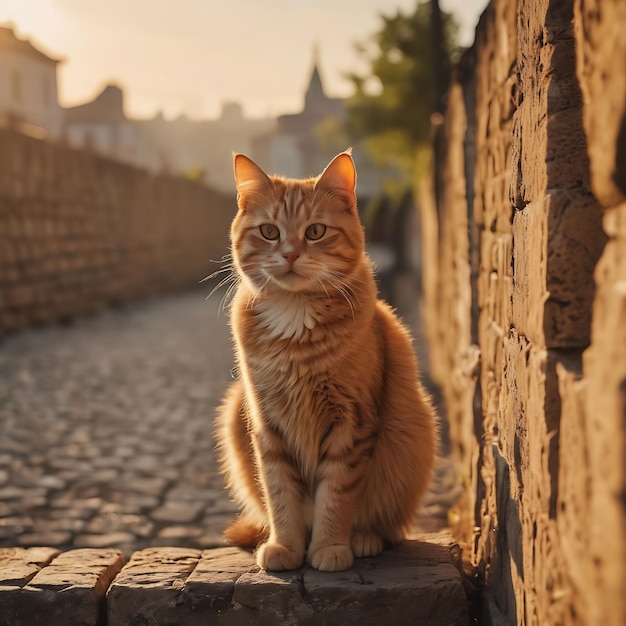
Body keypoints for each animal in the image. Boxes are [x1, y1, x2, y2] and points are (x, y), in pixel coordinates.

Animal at [214, 150, 434, 572]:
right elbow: (280, 495)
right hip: (235, 408)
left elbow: (336, 494)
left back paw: (364, 539)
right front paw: (286, 545)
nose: (290, 254)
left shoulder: (352, 423)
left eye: (315, 232)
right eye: (269, 232)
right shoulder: (268, 424)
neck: (294, 316)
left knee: (389, 527)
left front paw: (330, 546)